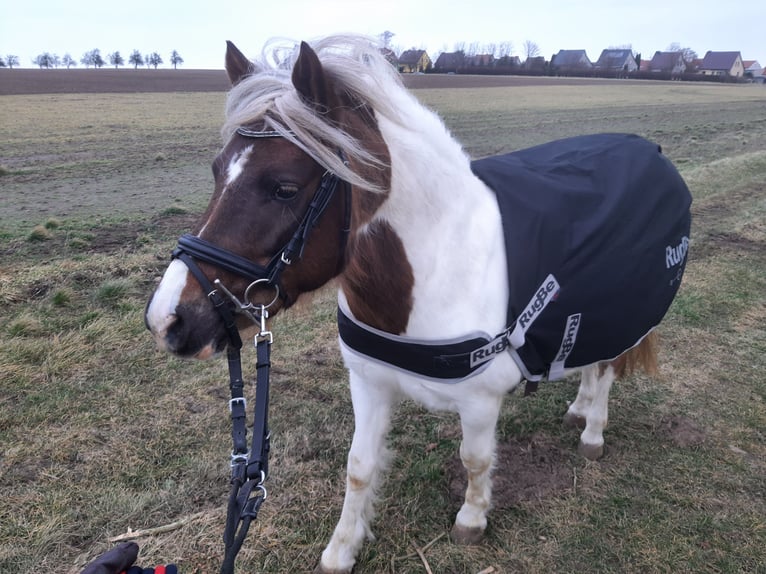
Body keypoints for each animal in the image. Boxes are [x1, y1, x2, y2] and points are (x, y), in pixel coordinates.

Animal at [145, 36, 691, 573]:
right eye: (217, 171)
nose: (168, 318)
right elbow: (359, 467)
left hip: (620, 314)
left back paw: (593, 431)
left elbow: (475, 460)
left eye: (283, 188)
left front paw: (471, 519)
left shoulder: (480, 402)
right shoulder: (368, 383)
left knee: (606, 368)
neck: (432, 274)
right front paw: (342, 548)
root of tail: (651, 150)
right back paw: (579, 408)